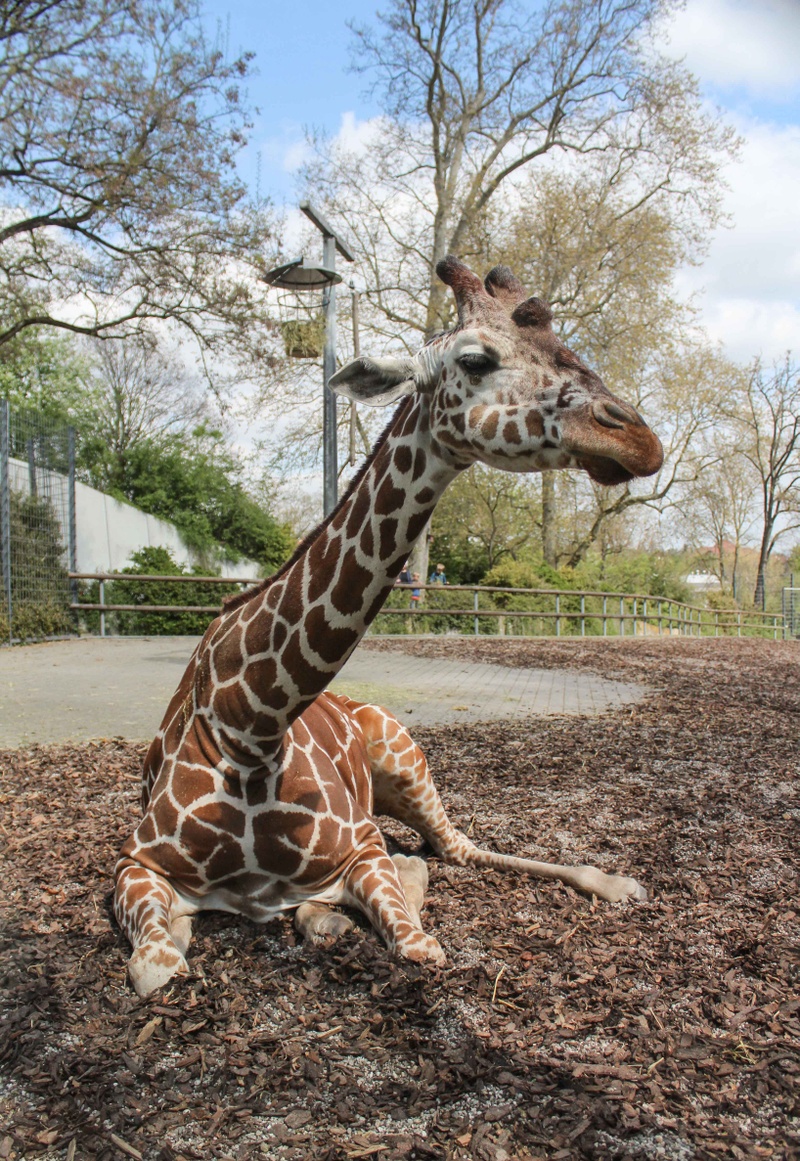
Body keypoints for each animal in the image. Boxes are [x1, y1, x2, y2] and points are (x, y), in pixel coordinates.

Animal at [114, 258, 664, 997]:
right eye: (476, 358)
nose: (636, 438)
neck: (248, 724)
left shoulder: (364, 847)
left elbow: (414, 930)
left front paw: (329, 914)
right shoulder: (133, 862)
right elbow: (157, 962)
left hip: (407, 760)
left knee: (455, 848)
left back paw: (616, 881)